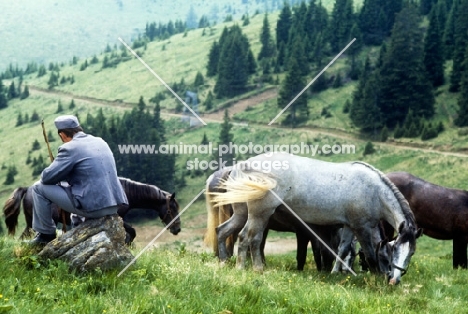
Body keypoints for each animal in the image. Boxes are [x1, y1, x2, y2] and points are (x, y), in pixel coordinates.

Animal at [2, 177, 182, 243]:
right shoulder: (117, 217)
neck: (124, 191)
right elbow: (132, 232)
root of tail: (29, 189)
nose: (177, 229)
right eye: (173, 208)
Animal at [210, 153, 422, 286]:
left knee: (224, 231)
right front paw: (375, 278)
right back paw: (246, 268)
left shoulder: (348, 227)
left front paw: (335, 272)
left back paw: (225, 262)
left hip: (242, 214)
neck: (374, 191)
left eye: (411, 253)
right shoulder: (361, 227)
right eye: (393, 251)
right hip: (260, 214)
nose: (394, 280)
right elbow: (369, 254)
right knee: (247, 238)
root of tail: (240, 166)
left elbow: (342, 249)